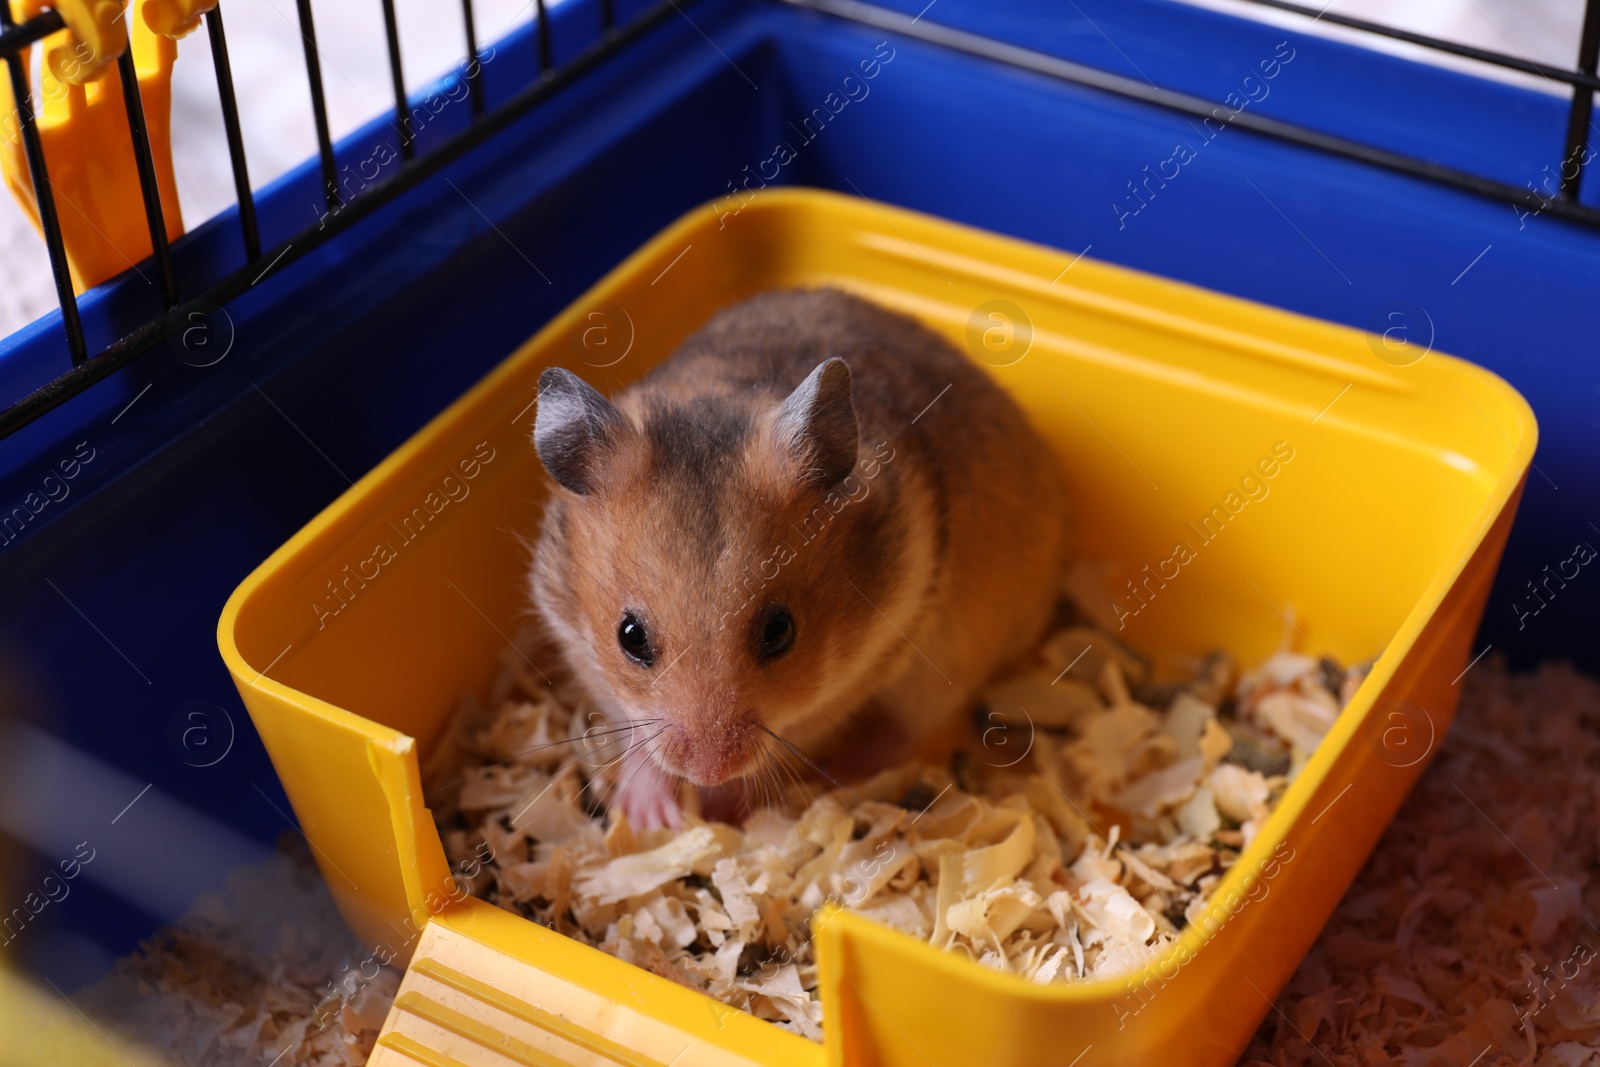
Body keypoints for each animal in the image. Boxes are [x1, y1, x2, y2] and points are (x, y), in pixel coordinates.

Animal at [531, 287, 1068, 831]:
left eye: (779, 632)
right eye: (630, 637)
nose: (707, 773)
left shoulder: (866, 666)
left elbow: (792, 742)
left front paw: (721, 808)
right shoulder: (582, 652)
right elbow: (637, 735)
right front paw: (651, 820)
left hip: (950, 662)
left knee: (909, 734)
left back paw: (840, 771)